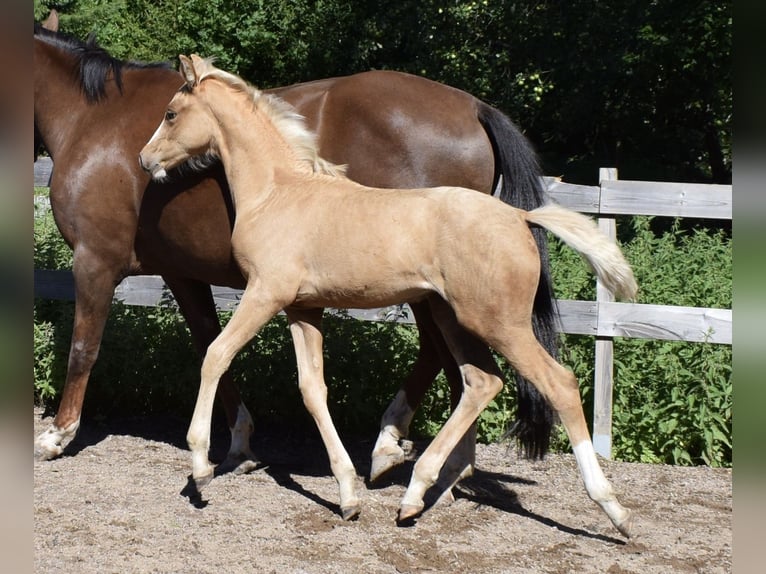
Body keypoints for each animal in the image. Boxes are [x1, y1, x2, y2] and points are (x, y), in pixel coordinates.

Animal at [33, 12, 556, 482]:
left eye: (170, 114)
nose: (146, 160)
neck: (92, 118)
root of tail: (474, 107)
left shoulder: (95, 261)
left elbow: (84, 346)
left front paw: (58, 434)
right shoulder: (182, 273)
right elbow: (210, 343)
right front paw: (238, 443)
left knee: (447, 358)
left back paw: (413, 456)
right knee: (450, 361)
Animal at [141, 55, 640, 540]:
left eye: (170, 113)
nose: (146, 160)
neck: (279, 192)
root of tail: (519, 216)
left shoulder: (265, 293)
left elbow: (215, 354)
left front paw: (201, 468)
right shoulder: (303, 308)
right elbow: (312, 389)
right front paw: (348, 495)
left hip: (500, 324)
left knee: (559, 384)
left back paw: (613, 510)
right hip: (453, 317)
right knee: (481, 382)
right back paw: (419, 492)